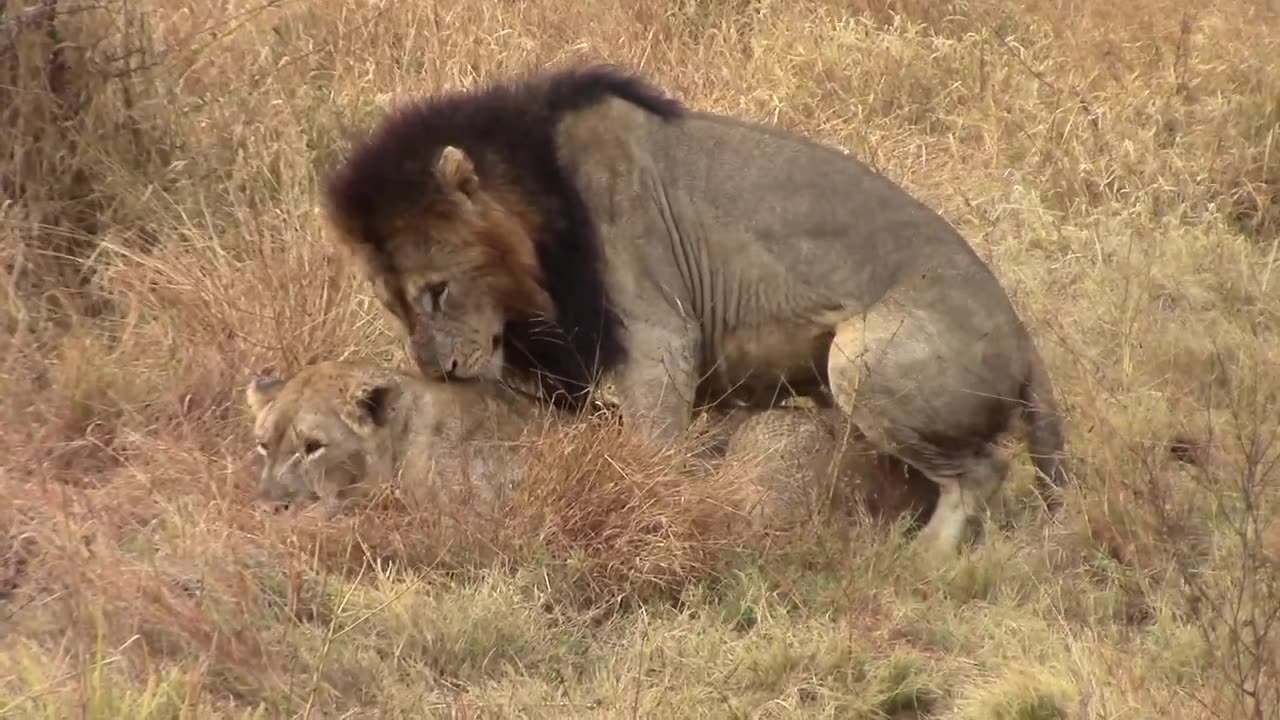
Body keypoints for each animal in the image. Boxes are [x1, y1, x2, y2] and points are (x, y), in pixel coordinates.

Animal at [320, 63, 1070, 556]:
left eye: (437, 290)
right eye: (393, 305)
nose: (438, 370)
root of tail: (1023, 336)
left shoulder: (658, 332)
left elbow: (652, 443)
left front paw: (659, 514)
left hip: (862, 357)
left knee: (984, 470)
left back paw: (928, 561)